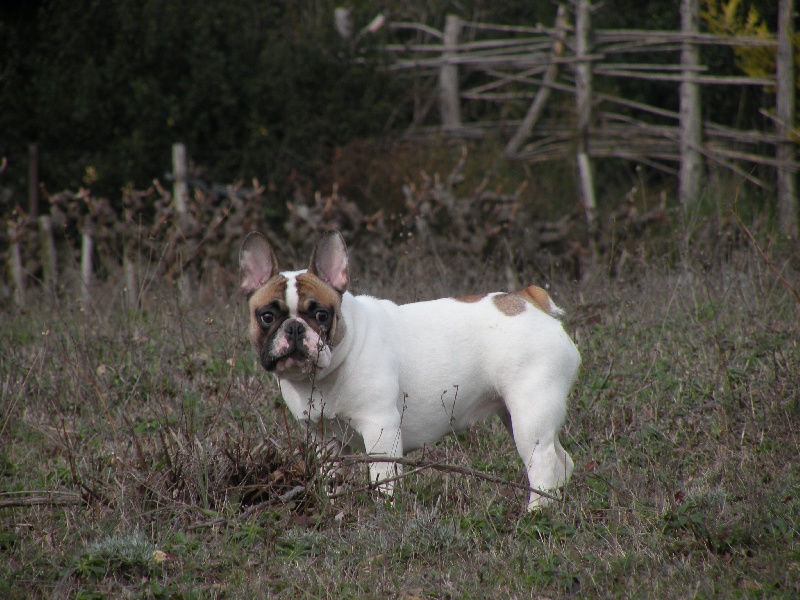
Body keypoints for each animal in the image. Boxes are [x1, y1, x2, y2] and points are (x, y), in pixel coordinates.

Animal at [239, 232, 580, 508]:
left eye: (321, 315)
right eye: (267, 316)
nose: (294, 328)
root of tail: (528, 299)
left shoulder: (380, 429)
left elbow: (382, 479)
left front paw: (384, 513)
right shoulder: (324, 439)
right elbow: (331, 477)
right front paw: (333, 507)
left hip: (530, 412)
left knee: (542, 460)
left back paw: (537, 512)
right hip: (515, 414)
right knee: (561, 460)